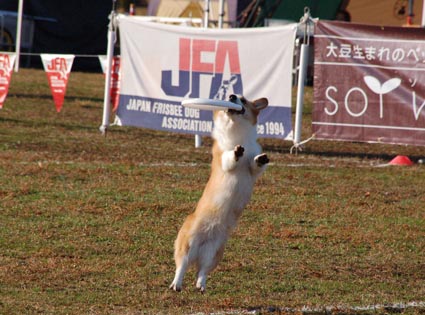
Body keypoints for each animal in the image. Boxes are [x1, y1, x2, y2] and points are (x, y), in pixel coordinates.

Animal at [170, 94, 266, 294]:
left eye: (243, 99)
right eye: (230, 95)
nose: (232, 96)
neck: (237, 132)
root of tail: (199, 250)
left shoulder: (253, 169)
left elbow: (255, 164)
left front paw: (261, 159)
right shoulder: (224, 159)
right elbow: (230, 158)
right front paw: (237, 151)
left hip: (215, 252)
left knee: (203, 271)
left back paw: (201, 285)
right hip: (187, 243)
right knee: (182, 266)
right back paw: (177, 284)